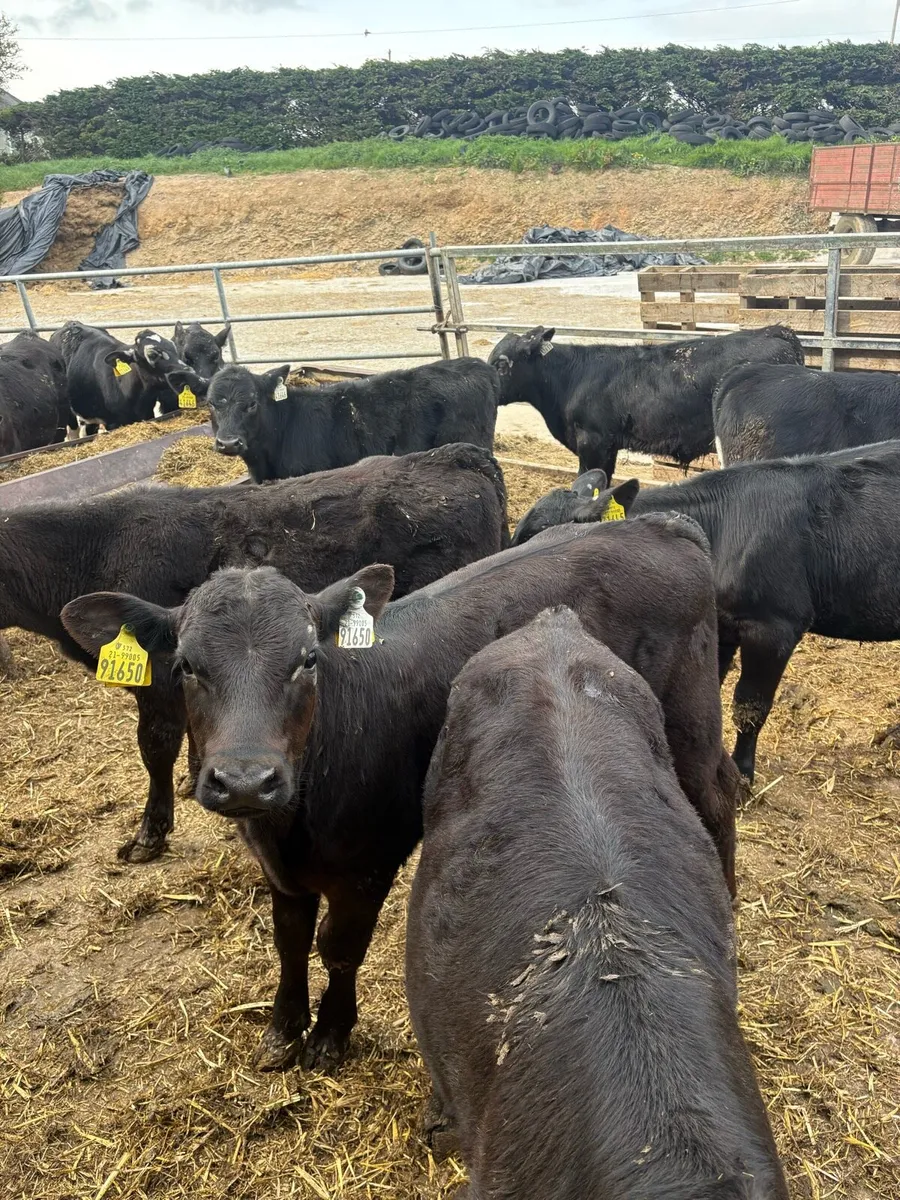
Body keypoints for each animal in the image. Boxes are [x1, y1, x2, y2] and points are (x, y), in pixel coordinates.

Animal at [1, 444, 507, 861]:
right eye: (190, 663)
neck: (96, 546)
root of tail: (454, 454)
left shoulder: (156, 684)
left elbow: (155, 750)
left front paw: (149, 834)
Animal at [62, 516, 740, 1074]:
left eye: (309, 659)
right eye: (185, 665)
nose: (247, 779)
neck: (295, 821)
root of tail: (661, 524)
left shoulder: (369, 861)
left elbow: (339, 946)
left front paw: (330, 1037)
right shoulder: (281, 868)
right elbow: (289, 940)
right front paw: (283, 1030)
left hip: (690, 719)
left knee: (717, 798)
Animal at [509, 443, 900, 782]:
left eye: (541, 537)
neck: (723, 529)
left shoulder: (776, 626)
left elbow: (750, 706)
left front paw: (742, 774)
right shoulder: (721, 624)